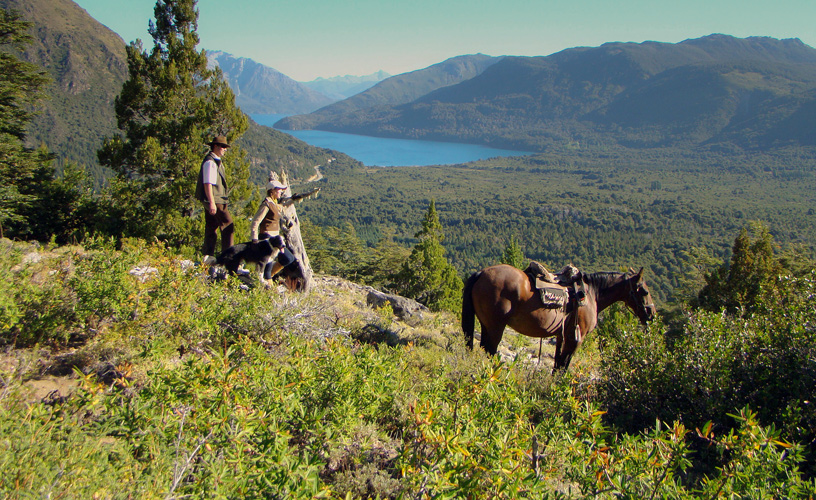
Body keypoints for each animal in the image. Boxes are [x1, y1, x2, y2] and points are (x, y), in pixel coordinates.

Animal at [462, 266, 652, 372]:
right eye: (644, 291)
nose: (651, 314)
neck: (592, 294)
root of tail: (481, 273)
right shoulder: (576, 339)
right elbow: (564, 366)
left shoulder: (562, 336)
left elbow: (557, 364)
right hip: (496, 326)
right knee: (490, 350)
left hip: (486, 324)